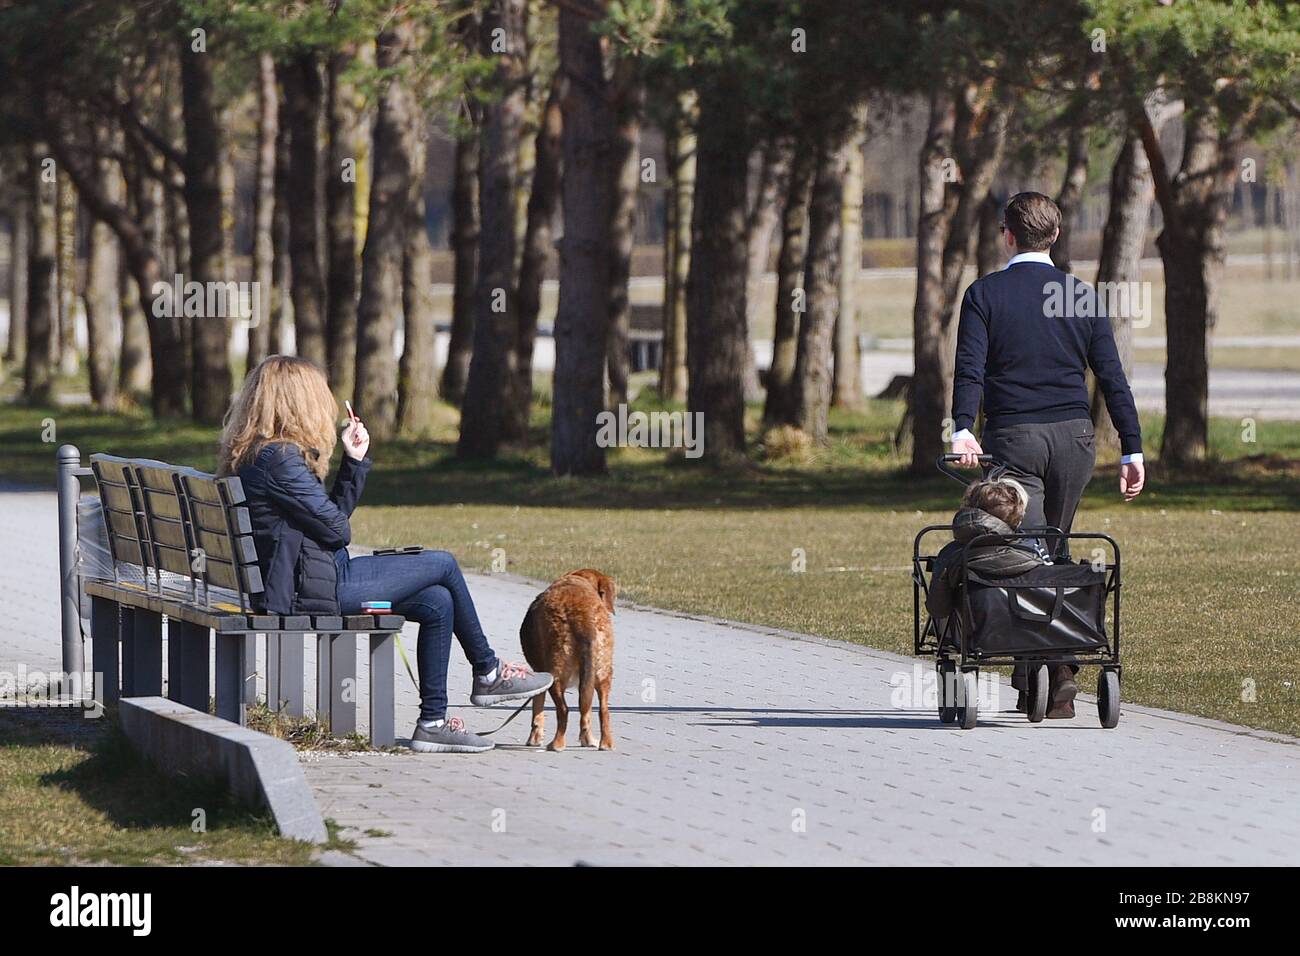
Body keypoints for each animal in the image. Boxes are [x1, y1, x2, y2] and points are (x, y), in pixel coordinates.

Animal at [520, 572, 616, 749]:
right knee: (602, 710)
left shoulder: (540, 674)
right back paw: (605, 743)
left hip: (555, 675)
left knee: (563, 710)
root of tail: (583, 617)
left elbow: (537, 710)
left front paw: (534, 738)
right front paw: (588, 740)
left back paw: (556, 744)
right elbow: (587, 713)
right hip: (603, 674)